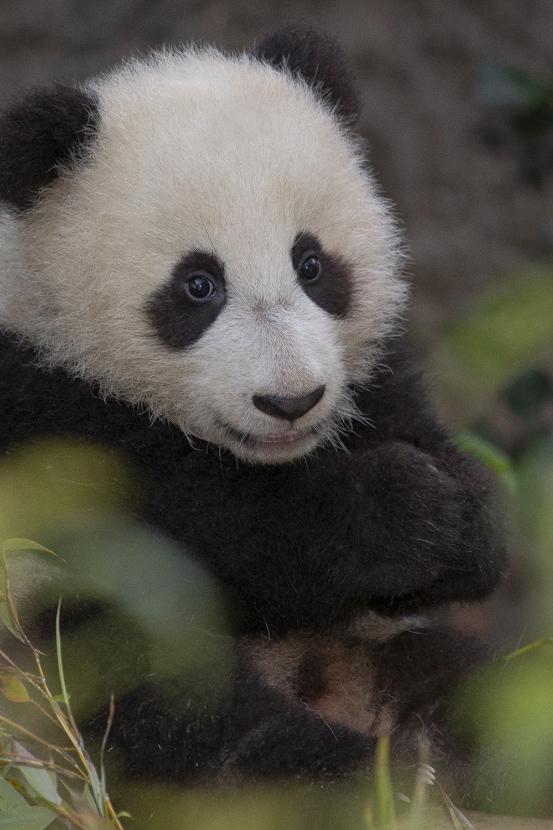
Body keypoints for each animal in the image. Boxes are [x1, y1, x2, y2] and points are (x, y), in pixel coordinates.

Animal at [0, 26, 504, 798]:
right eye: (198, 285)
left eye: (312, 264)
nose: (290, 401)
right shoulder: (39, 406)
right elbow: (213, 521)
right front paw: (405, 510)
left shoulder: (364, 377)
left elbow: (408, 425)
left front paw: (463, 519)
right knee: (177, 720)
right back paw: (351, 780)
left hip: (395, 654)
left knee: (481, 690)